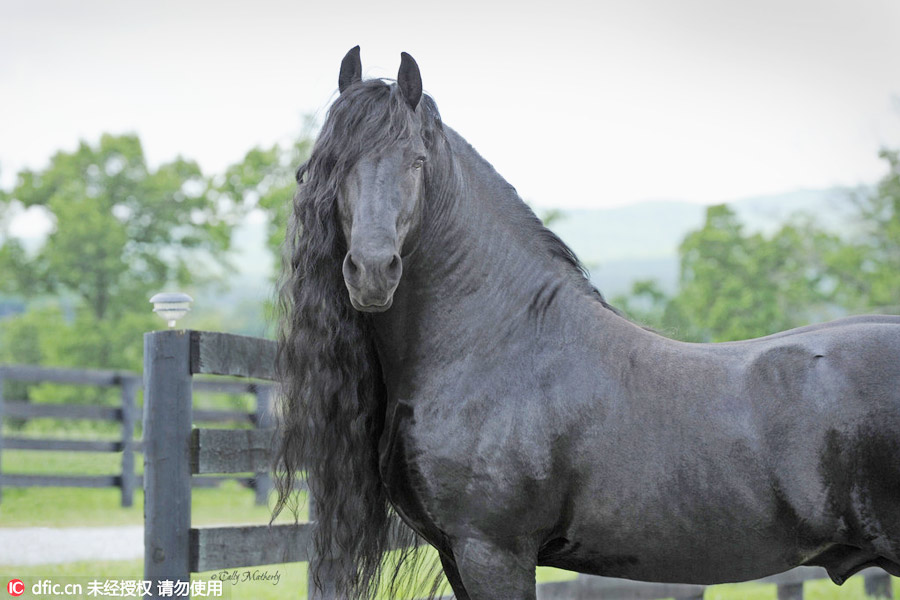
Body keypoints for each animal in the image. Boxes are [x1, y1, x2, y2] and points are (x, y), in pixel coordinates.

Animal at [272, 47, 900, 600]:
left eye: (417, 162)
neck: (495, 348)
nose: (372, 272)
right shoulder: (457, 553)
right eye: (329, 166)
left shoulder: (493, 550)